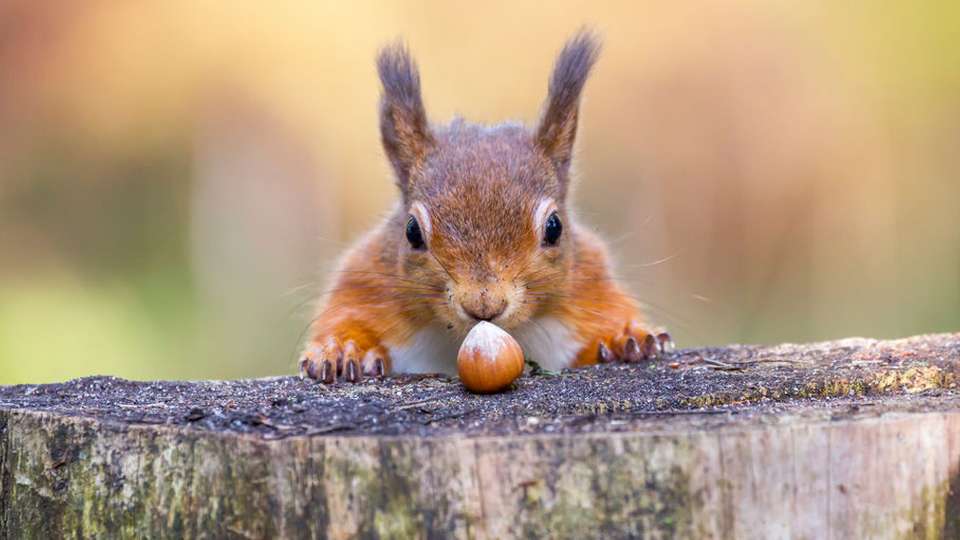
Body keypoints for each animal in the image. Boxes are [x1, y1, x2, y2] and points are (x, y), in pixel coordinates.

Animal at [298, 31, 668, 384]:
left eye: (554, 227)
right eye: (411, 231)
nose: (483, 304)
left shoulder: (590, 282)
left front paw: (625, 337)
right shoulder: (365, 281)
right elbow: (347, 315)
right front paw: (343, 349)